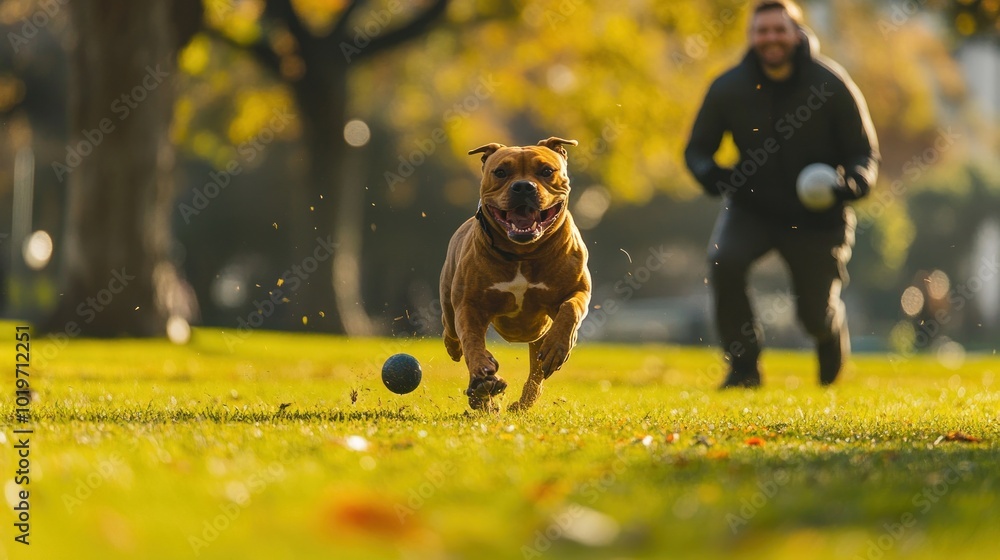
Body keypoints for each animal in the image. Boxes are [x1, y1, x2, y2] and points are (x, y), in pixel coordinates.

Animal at [440, 138, 592, 412]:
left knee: (537, 372)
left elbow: (570, 309)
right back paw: (477, 382)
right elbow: (471, 340)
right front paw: (482, 370)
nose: (523, 187)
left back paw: (520, 401)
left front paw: (558, 347)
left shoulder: (579, 290)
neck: (523, 253)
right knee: (453, 331)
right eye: (500, 172)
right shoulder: (469, 304)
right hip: (449, 298)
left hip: (538, 335)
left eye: (546, 171)